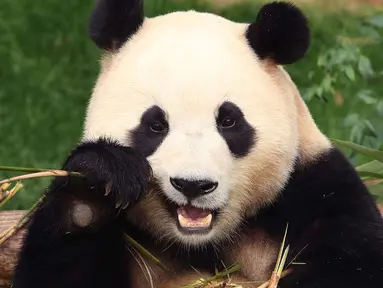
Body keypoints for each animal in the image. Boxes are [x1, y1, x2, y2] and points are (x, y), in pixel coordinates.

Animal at [10, 0, 383, 288]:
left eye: (229, 121)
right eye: (156, 124)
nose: (193, 185)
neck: (200, 243)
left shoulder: (315, 189)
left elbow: (350, 263)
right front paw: (95, 185)